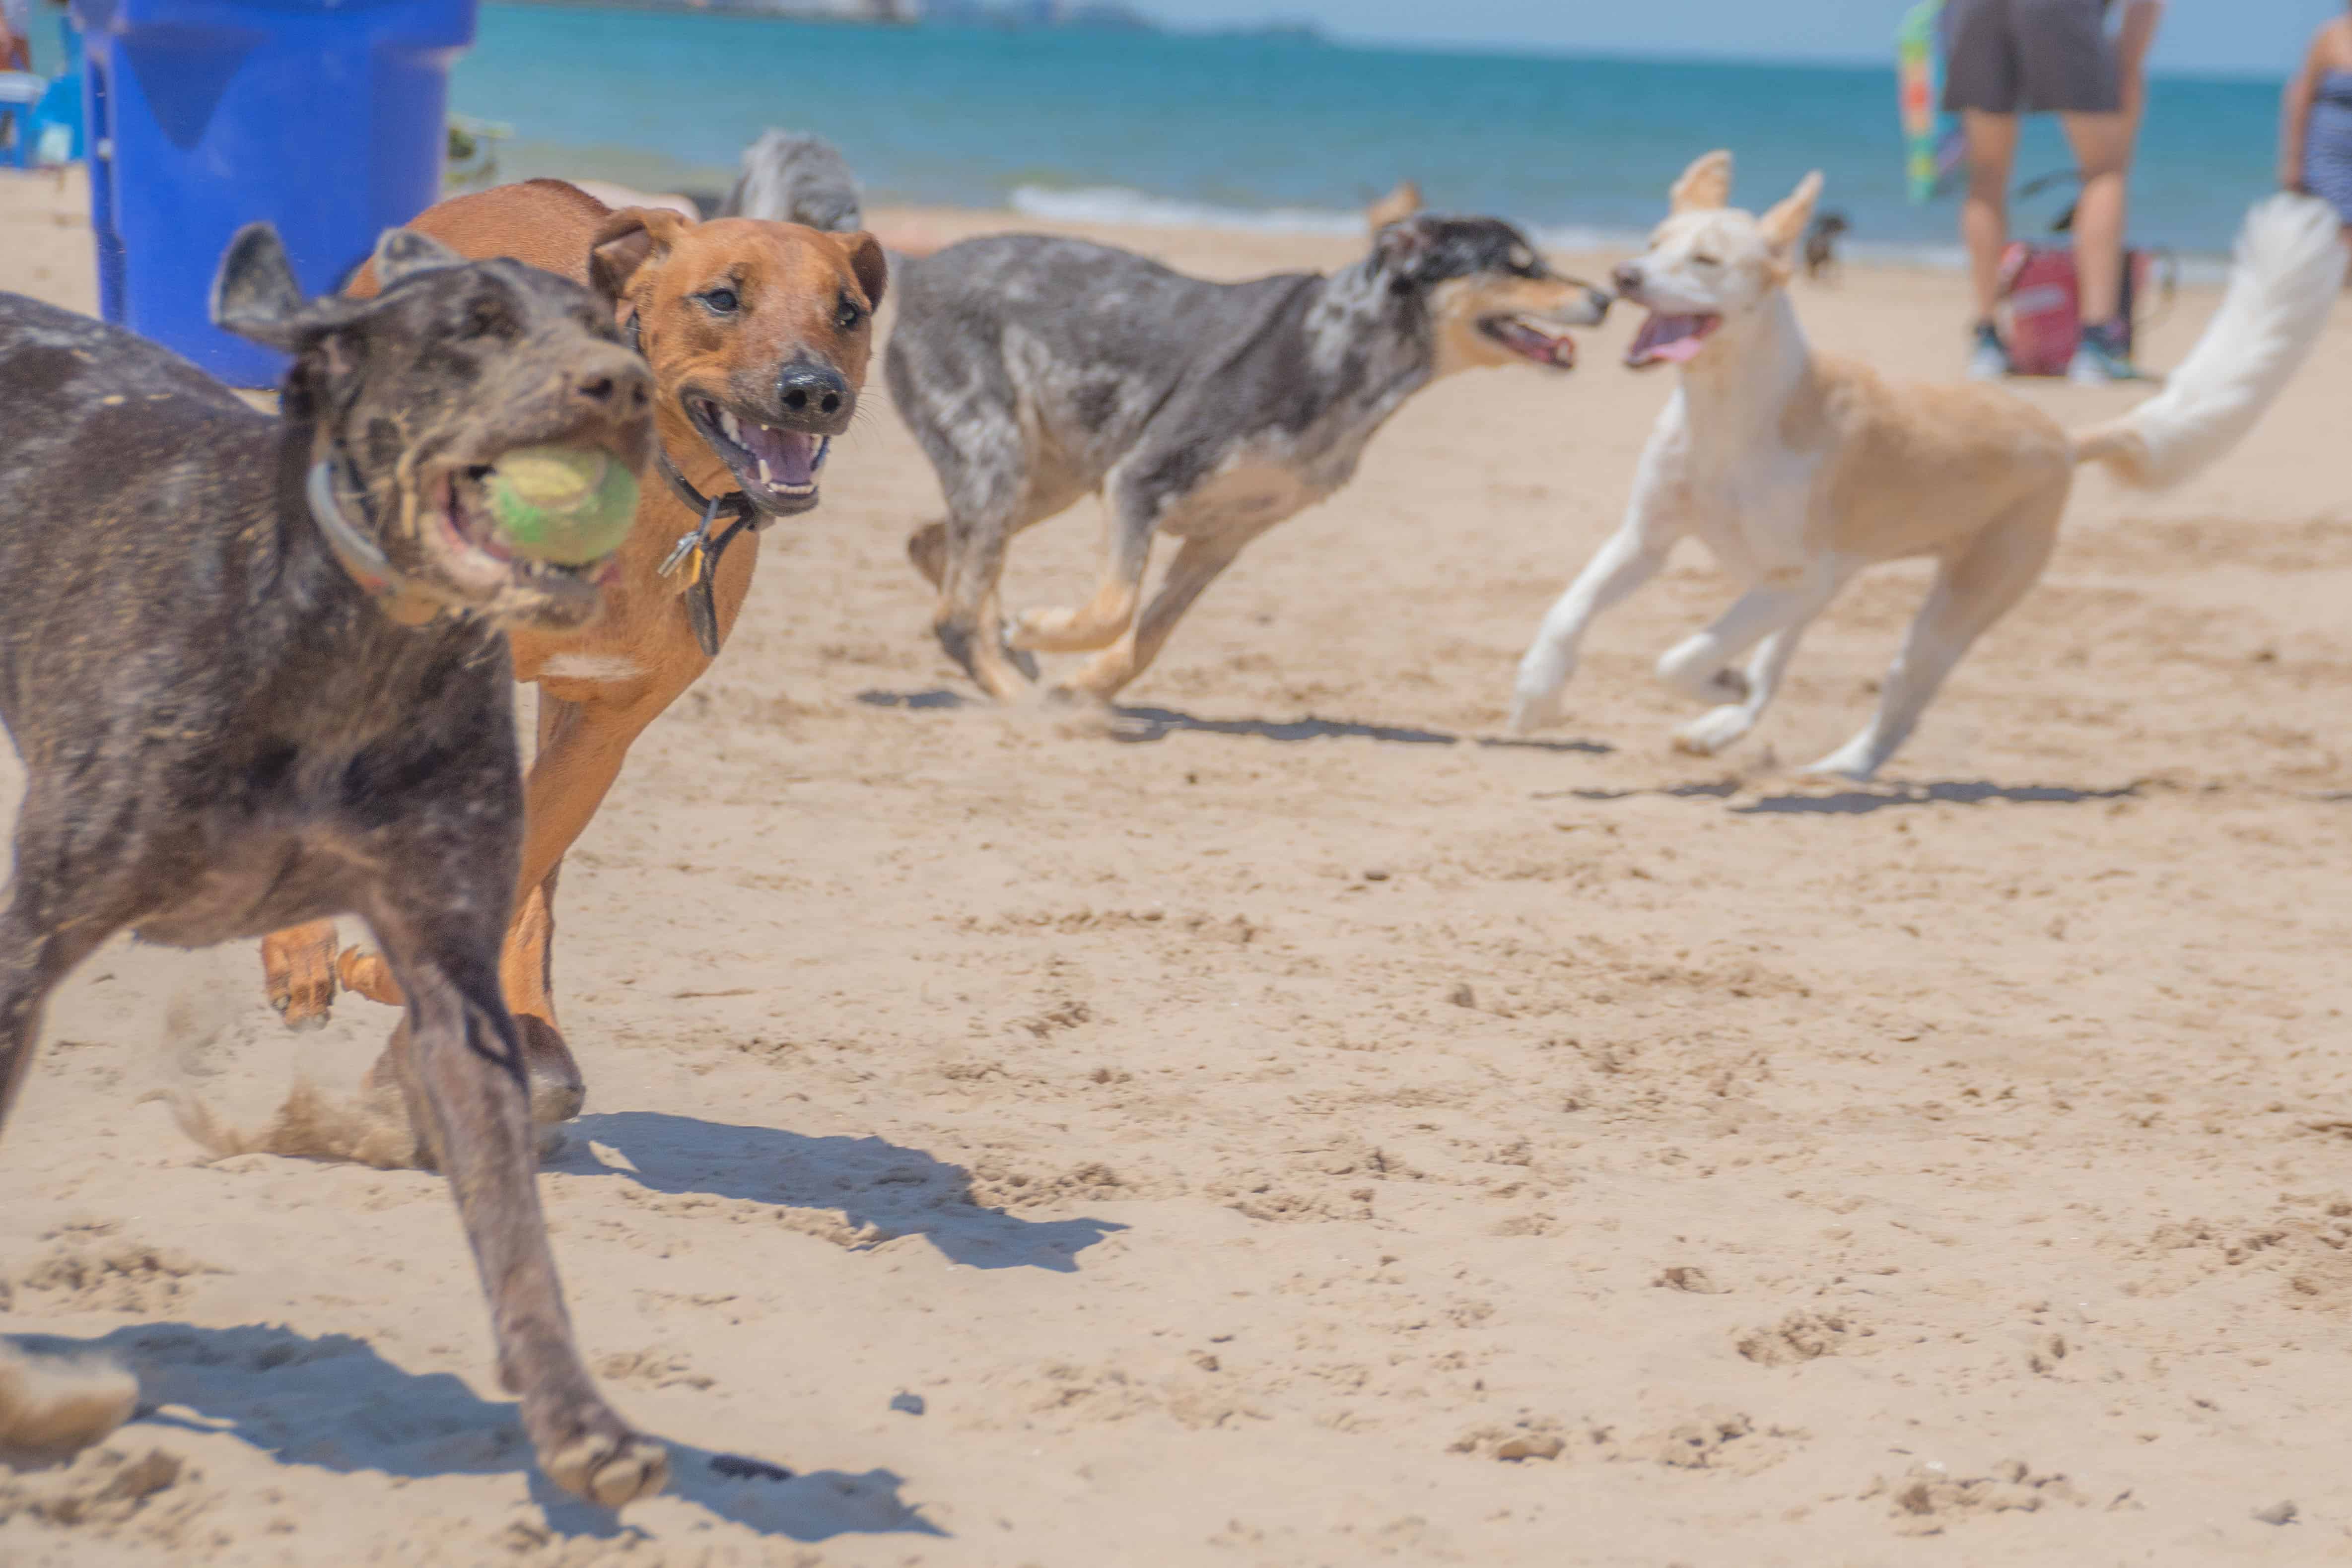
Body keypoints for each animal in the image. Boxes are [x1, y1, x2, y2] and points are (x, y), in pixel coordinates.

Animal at [0, 227, 673, 1504]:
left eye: (608, 326)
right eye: (471, 324)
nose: (626, 389)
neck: (355, 643)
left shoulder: (454, 977)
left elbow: (514, 1229)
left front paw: (579, 1419)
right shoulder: (30, 944)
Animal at [257, 177, 884, 1123]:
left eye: (848, 311)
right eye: (722, 297)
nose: (813, 390)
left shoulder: (606, 724)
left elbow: (527, 857)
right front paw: (301, 948)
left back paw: (529, 1031)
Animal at [889, 211, 1608, 700]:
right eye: (1518, 265)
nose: (1605, 297)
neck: (1338, 353)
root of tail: (917, 269)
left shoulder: (1228, 535)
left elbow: (1146, 638)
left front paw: (1083, 683)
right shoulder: (1139, 479)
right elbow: (1112, 608)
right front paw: (1041, 633)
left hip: (1046, 476)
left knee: (932, 547)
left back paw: (1012, 657)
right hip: (999, 457)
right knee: (952, 615)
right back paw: (1016, 690)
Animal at [1515, 152, 2343, 780]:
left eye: (1707, 261)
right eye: (1654, 241)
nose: (1622, 276)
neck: (1728, 412)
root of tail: (2061, 438)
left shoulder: (1794, 576)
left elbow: (1678, 656)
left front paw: (1713, 678)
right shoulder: (1648, 541)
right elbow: (1567, 610)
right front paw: (1538, 697)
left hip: (1950, 609)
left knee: (1897, 700)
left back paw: (1841, 766)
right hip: (1825, 593)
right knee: (1776, 668)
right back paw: (1724, 726)